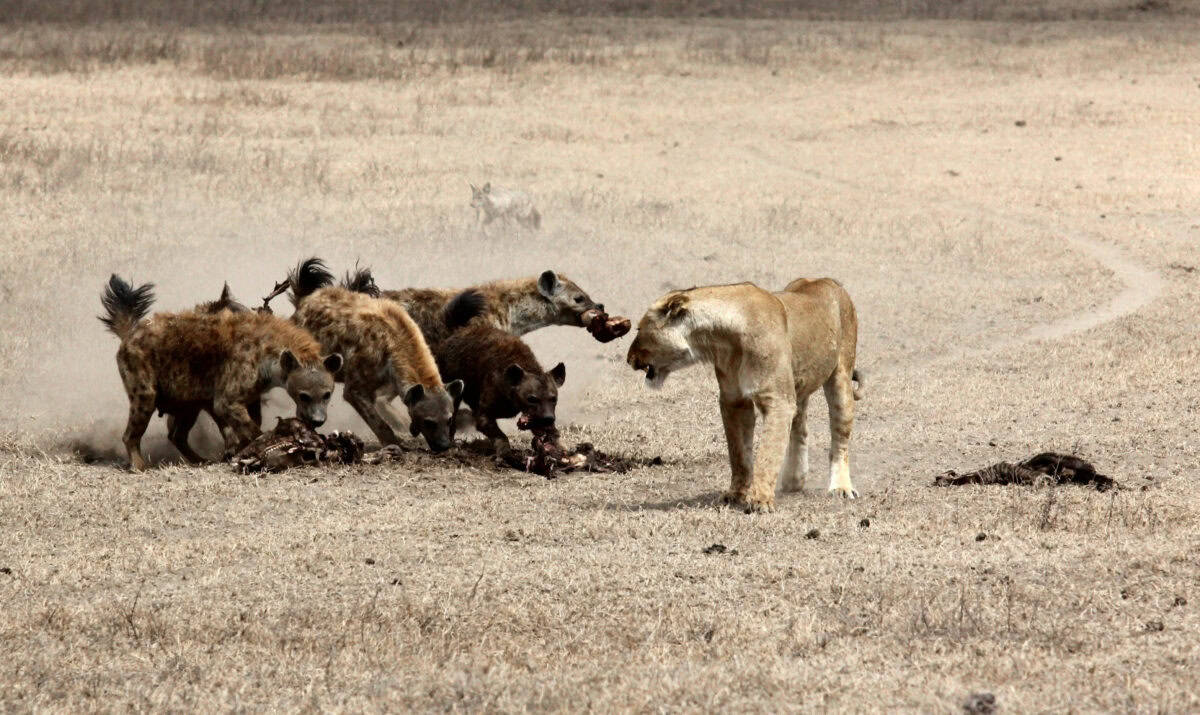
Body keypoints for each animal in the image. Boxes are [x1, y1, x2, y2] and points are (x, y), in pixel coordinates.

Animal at [626, 278, 862, 513]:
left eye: (639, 328)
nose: (629, 359)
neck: (720, 339)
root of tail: (825, 280)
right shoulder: (734, 400)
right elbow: (738, 453)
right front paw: (736, 494)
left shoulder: (777, 400)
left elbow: (768, 453)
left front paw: (760, 500)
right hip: (799, 384)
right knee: (800, 427)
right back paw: (793, 479)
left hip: (841, 378)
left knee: (839, 439)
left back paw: (841, 488)